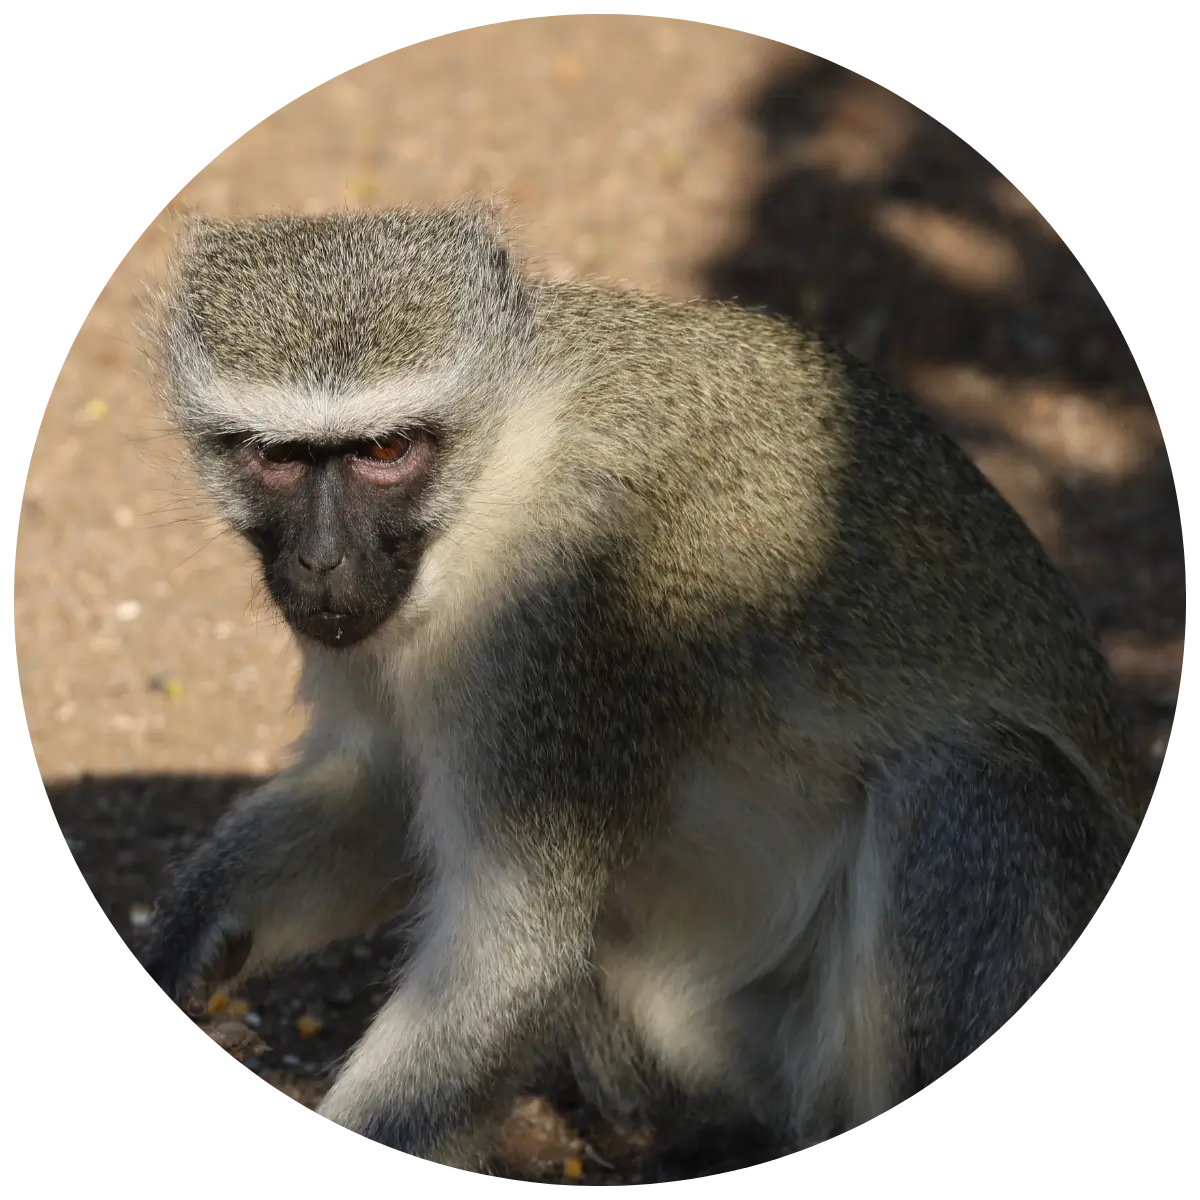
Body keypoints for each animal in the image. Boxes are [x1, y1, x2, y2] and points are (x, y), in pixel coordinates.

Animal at [137, 203, 1146, 1181]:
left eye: (386, 449)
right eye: (275, 459)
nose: (320, 560)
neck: (504, 474)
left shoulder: (568, 614)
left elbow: (506, 948)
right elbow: (380, 793)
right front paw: (190, 935)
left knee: (979, 782)